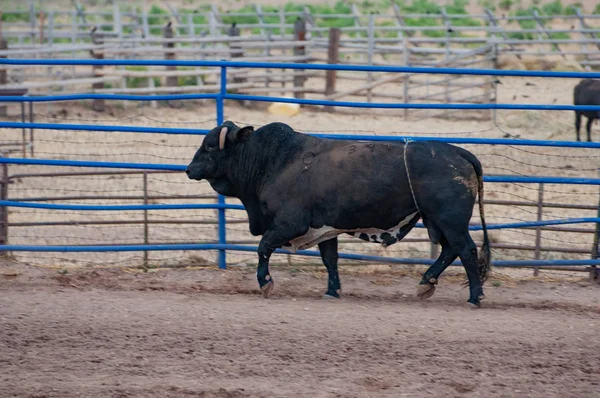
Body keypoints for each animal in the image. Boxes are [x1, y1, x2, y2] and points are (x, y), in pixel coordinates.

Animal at [188, 123, 492, 306]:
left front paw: (265, 282)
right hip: (436, 220)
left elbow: (263, 248)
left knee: (465, 250)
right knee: (450, 251)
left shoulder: (289, 224)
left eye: (210, 146)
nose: (189, 169)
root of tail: (458, 152)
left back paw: (475, 296)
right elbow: (330, 259)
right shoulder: (325, 229)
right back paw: (426, 283)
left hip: (450, 220)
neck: (274, 161)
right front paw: (333, 290)